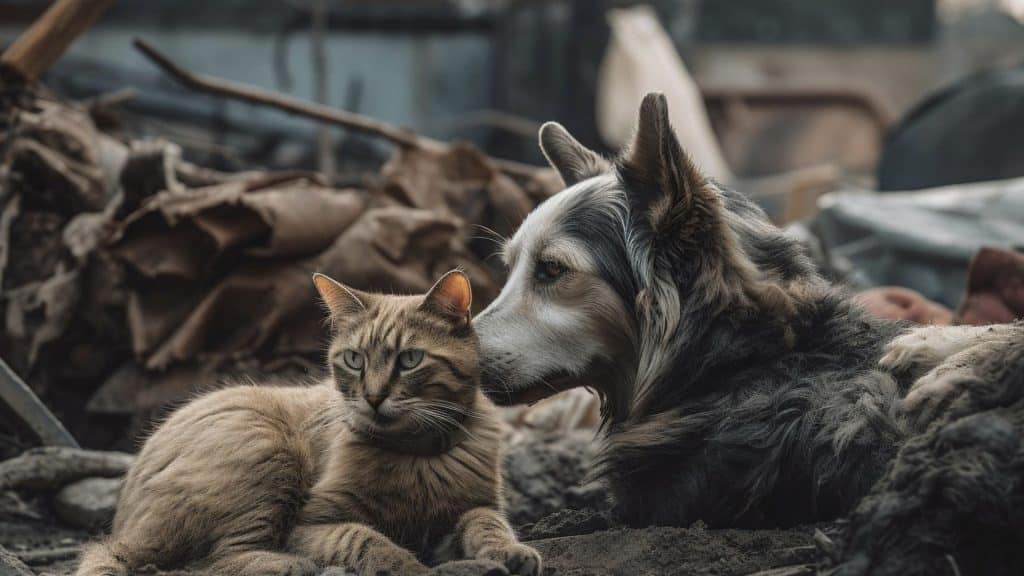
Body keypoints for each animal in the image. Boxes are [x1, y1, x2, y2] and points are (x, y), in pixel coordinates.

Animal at [75, 268, 540, 573]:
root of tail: (123, 527)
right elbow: (363, 536)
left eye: (410, 359)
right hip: (264, 451)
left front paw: (508, 551)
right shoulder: (308, 525)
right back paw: (288, 565)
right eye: (354, 360)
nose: (373, 397)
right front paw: (403, 563)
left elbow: (487, 521)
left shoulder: (474, 505)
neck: (417, 458)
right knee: (213, 560)